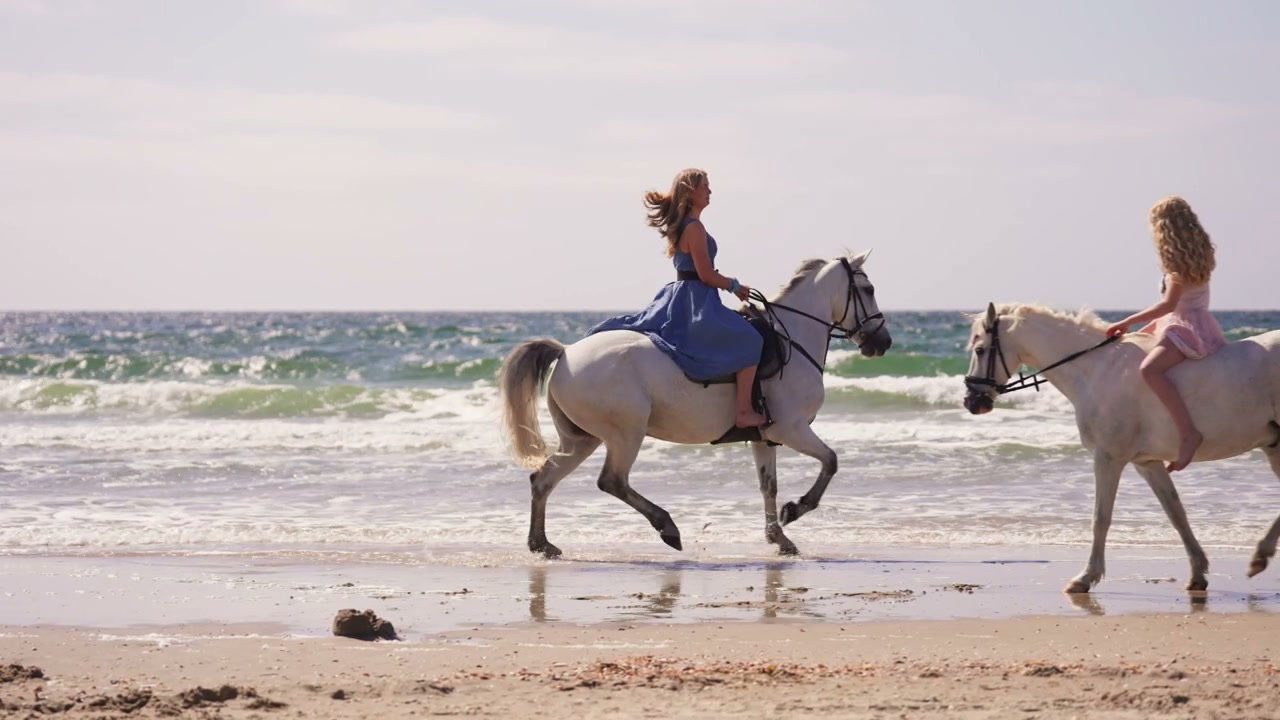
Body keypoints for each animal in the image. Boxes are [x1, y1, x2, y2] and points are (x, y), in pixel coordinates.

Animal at [499, 252, 892, 558]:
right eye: (869, 290)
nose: (883, 343)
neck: (792, 338)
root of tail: (565, 353)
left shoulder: (765, 438)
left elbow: (768, 486)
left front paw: (779, 537)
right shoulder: (790, 429)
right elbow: (831, 461)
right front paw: (795, 510)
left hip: (581, 439)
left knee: (543, 479)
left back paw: (542, 545)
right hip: (625, 435)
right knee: (611, 480)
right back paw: (668, 528)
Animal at [962, 302, 1280, 593]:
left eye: (979, 350)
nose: (971, 401)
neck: (1097, 370)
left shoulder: (1108, 458)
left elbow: (1100, 517)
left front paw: (1086, 577)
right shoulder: (1147, 463)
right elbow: (1176, 513)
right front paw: (1198, 573)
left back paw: (1259, 557)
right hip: (1273, 446)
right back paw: (1259, 557)